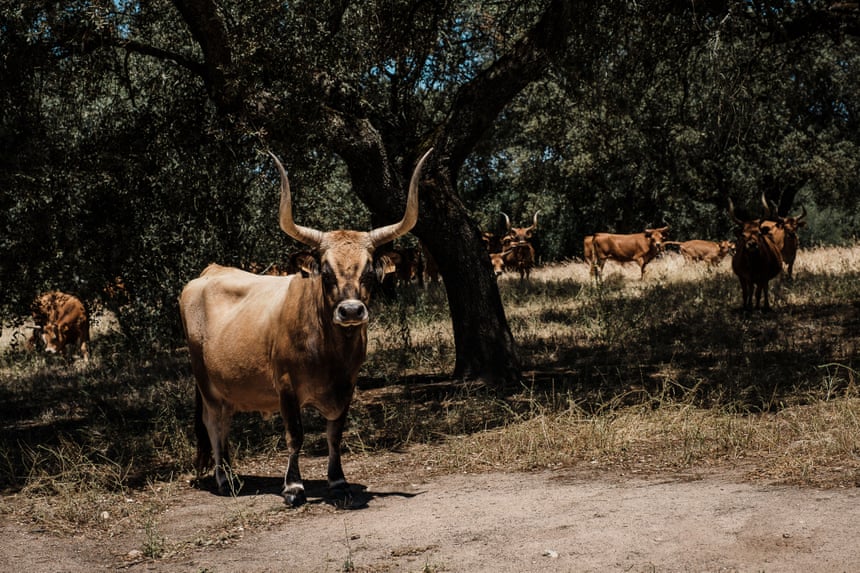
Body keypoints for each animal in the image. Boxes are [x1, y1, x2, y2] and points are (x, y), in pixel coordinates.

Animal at [178, 148, 432, 506]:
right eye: (325, 272)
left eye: (369, 272)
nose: (351, 310)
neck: (330, 353)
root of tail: (209, 272)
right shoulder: (286, 386)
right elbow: (295, 435)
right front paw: (293, 486)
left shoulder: (347, 385)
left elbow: (334, 434)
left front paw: (338, 481)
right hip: (207, 384)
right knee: (215, 424)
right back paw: (224, 479)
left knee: (224, 423)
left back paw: (232, 475)